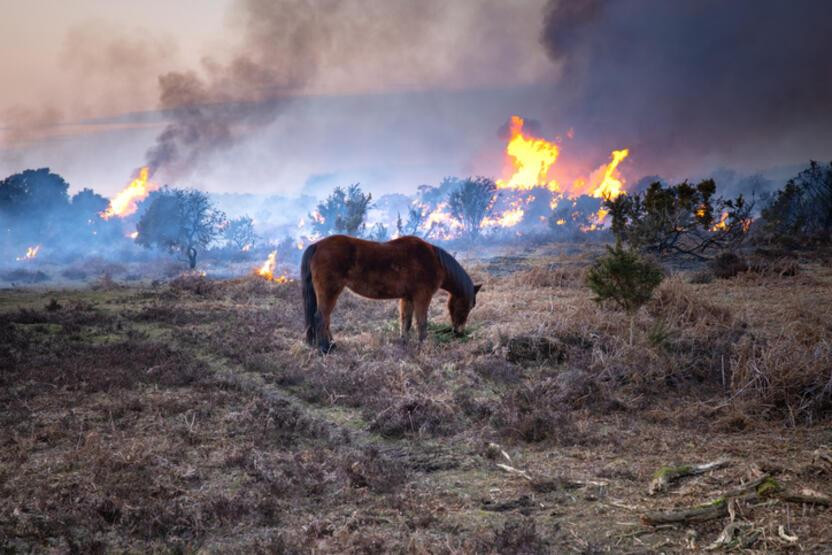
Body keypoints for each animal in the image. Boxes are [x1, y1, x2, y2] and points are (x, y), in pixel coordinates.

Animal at [300, 235, 480, 352]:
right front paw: (423, 345)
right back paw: (325, 348)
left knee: (325, 319)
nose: (459, 332)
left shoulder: (407, 298)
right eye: (467, 306)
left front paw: (404, 343)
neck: (433, 260)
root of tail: (317, 245)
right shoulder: (422, 297)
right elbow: (422, 322)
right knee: (321, 318)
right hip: (330, 292)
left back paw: (332, 345)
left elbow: (406, 321)